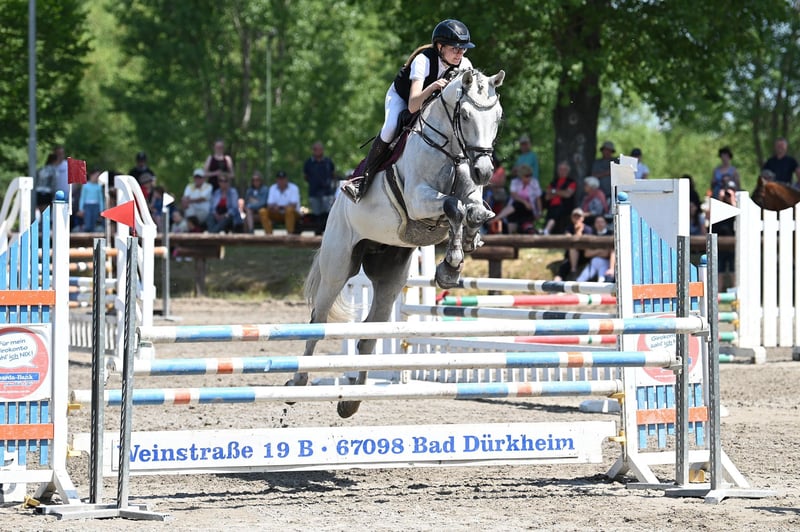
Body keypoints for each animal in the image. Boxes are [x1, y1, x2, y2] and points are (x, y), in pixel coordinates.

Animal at [289, 69, 505, 418]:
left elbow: (473, 210)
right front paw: (451, 265)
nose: (484, 171)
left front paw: (461, 253)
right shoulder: (418, 200)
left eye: (497, 116)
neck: (451, 151)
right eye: (465, 115)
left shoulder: (469, 194)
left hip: (390, 274)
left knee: (368, 335)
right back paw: (297, 383)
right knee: (317, 321)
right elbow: (454, 207)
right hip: (338, 266)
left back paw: (351, 401)